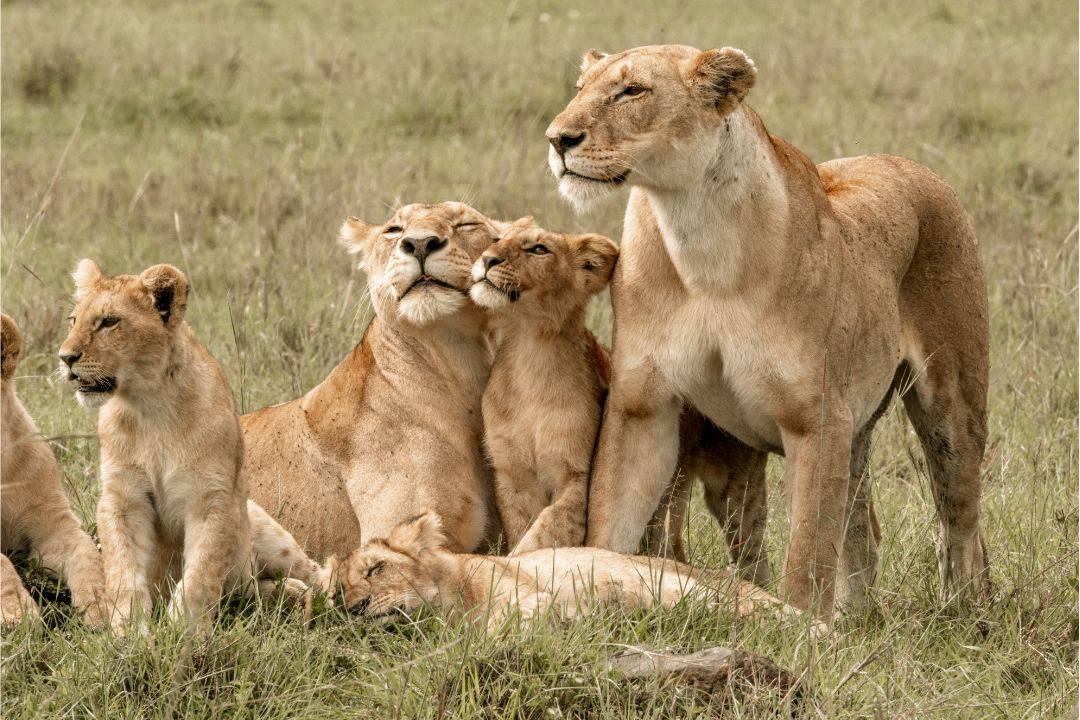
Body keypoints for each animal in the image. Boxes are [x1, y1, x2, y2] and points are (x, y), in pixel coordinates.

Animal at [59, 261, 323, 633]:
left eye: (109, 321)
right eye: (73, 320)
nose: (65, 357)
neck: (149, 405)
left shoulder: (212, 498)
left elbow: (201, 572)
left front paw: (184, 632)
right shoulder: (122, 498)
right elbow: (124, 570)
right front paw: (129, 632)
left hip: (265, 529)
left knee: (313, 572)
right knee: (248, 591)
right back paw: (289, 595)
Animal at [469, 217, 618, 555]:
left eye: (539, 249)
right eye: (497, 239)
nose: (488, 259)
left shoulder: (575, 474)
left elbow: (548, 527)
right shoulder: (512, 474)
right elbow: (523, 527)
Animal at [546, 45, 989, 619]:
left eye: (632, 91)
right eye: (581, 88)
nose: (557, 139)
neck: (699, 237)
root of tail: (911, 165)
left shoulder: (815, 418)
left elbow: (806, 555)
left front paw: (802, 628)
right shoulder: (642, 405)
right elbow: (610, 520)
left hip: (950, 406)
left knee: (961, 522)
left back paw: (966, 613)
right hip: (856, 430)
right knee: (862, 528)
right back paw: (859, 618)